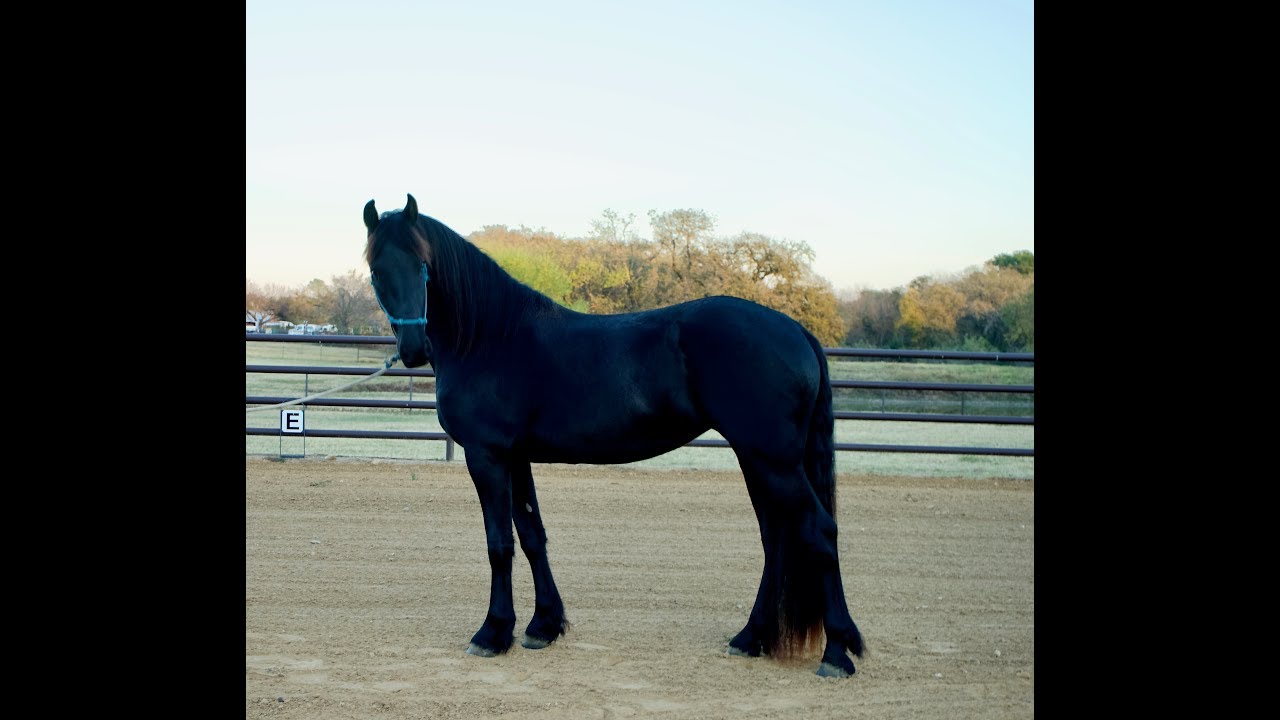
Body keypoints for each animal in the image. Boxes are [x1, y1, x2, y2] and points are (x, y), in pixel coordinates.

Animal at [363, 194, 865, 677]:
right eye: (375, 270)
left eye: (422, 265)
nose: (413, 349)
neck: (490, 337)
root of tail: (797, 330)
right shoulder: (515, 457)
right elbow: (531, 536)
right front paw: (543, 625)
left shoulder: (486, 456)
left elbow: (499, 544)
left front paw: (493, 632)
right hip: (757, 458)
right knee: (776, 538)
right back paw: (750, 638)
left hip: (772, 460)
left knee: (817, 531)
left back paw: (837, 652)